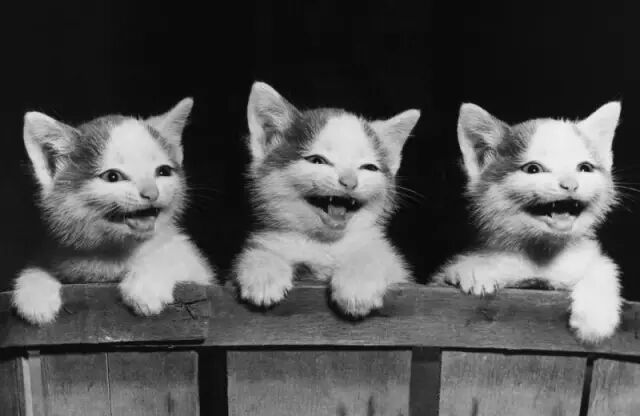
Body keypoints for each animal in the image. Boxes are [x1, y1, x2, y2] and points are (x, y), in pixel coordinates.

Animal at [13, 98, 214, 324]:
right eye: (112, 176)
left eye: (163, 171)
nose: (151, 193)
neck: (112, 253)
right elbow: (38, 267)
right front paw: (34, 291)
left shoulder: (196, 267)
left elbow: (175, 259)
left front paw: (147, 285)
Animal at [233, 82, 420, 316]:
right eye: (317, 160)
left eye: (369, 167)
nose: (349, 182)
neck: (324, 244)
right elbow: (261, 251)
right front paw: (264, 270)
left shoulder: (394, 266)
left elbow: (377, 257)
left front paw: (357, 283)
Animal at [435, 101, 622, 343]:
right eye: (533, 169)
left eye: (585, 168)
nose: (570, 184)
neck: (540, 253)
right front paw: (472, 269)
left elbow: (602, 265)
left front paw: (595, 317)